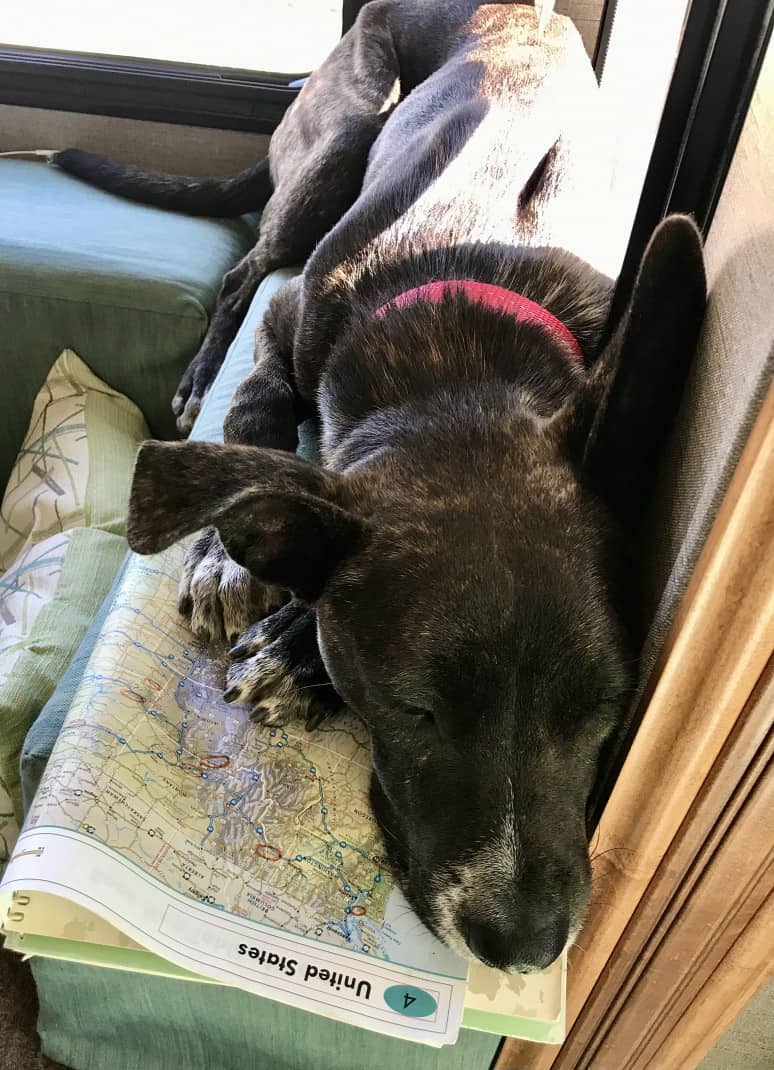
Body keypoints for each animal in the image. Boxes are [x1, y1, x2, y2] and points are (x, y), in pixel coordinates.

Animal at [52, 2, 706, 971]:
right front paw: (228, 558)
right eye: (414, 710)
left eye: (608, 709)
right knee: (247, 266)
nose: (528, 948)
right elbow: (257, 414)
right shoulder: (286, 325)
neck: (459, 357)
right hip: (343, 135)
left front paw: (296, 648)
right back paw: (200, 374)